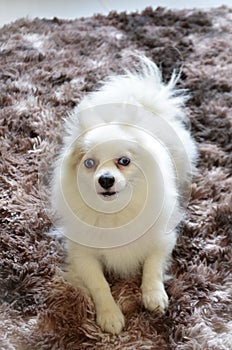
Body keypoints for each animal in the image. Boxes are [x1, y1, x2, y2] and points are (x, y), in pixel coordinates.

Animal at [51, 54, 197, 334]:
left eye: (124, 161)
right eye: (89, 163)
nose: (106, 179)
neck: (114, 212)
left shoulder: (163, 239)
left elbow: (152, 267)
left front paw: (154, 296)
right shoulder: (82, 254)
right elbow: (99, 284)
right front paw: (110, 315)